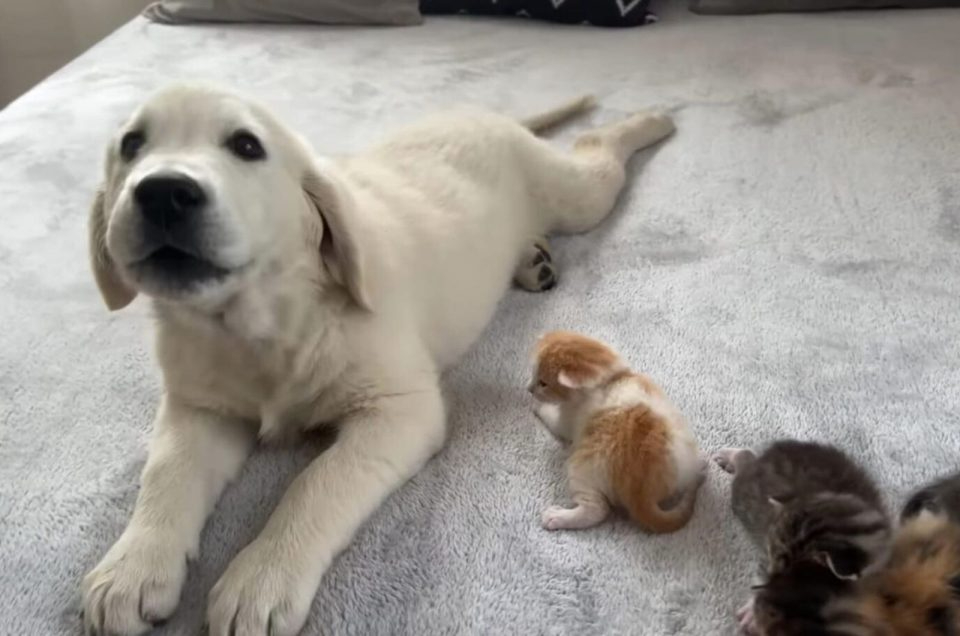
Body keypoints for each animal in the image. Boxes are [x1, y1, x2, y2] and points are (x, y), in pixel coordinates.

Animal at [80, 84, 676, 636]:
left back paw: (655, 118)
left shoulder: (398, 411)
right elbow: (167, 472)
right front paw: (130, 570)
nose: (162, 192)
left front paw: (261, 579)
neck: (263, 321)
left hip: (575, 195)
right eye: (132, 145)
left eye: (246, 145)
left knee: (596, 150)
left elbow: (316, 484)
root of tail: (482, 114)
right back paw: (532, 259)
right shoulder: (199, 407)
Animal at [524, 330, 704, 536]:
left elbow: (552, 417)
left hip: (582, 466)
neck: (610, 378)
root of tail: (643, 493)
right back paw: (702, 468)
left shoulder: (567, 419)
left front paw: (538, 405)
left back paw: (557, 517)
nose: (529, 389)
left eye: (543, 383)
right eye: (533, 373)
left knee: (598, 510)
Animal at [712, 440, 892, 632]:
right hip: (745, 496)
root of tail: (768, 457)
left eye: (789, 572)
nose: (768, 579)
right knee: (745, 462)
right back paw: (734, 456)